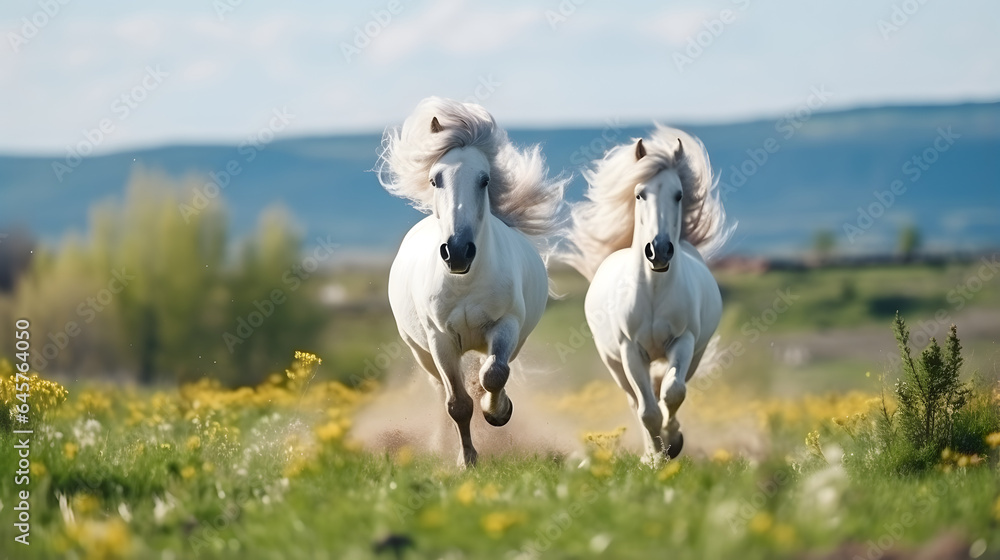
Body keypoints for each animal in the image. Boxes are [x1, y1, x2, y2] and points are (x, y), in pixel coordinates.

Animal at [377, 97, 568, 467]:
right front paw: (466, 460)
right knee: (442, 390)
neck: (464, 283)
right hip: (422, 352)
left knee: (487, 372)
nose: (457, 251)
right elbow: (458, 403)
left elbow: (493, 375)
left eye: (484, 180)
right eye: (435, 180)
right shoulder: (440, 340)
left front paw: (498, 413)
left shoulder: (506, 325)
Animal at [561, 125, 732, 465]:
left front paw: (673, 441)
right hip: (613, 362)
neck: (653, 289)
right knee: (636, 400)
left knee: (666, 387)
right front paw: (655, 457)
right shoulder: (630, 351)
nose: (659, 250)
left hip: (696, 353)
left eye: (678, 194)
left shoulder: (684, 342)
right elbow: (647, 410)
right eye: (640, 194)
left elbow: (673, 393)